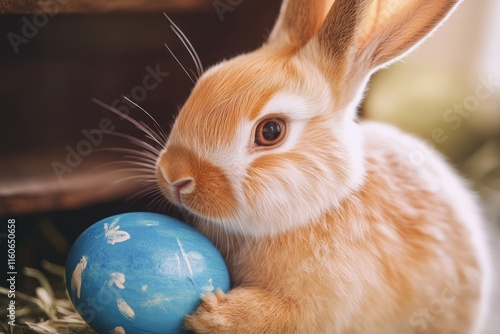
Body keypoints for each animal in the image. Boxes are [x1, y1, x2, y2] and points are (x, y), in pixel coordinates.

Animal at [156, 0, 492, 332]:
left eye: (271, 131)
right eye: (204, 82)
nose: (175, 176)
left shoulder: (322, 309)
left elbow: (283, 316)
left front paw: (214, 315)